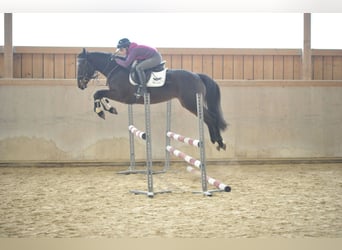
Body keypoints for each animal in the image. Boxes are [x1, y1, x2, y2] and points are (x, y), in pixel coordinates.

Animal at [76, 48, 228, 150]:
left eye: (82, 64)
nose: (80, 84)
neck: (116, 68)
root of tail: (197, 75)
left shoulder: (121, 95)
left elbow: (97, 93)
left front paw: (102, 111)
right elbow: (99, 94)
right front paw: (109, 109)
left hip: (190, 102)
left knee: (211, 117)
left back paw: (219, 142)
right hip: (192, 103)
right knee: (208, 118)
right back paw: (216, 141)